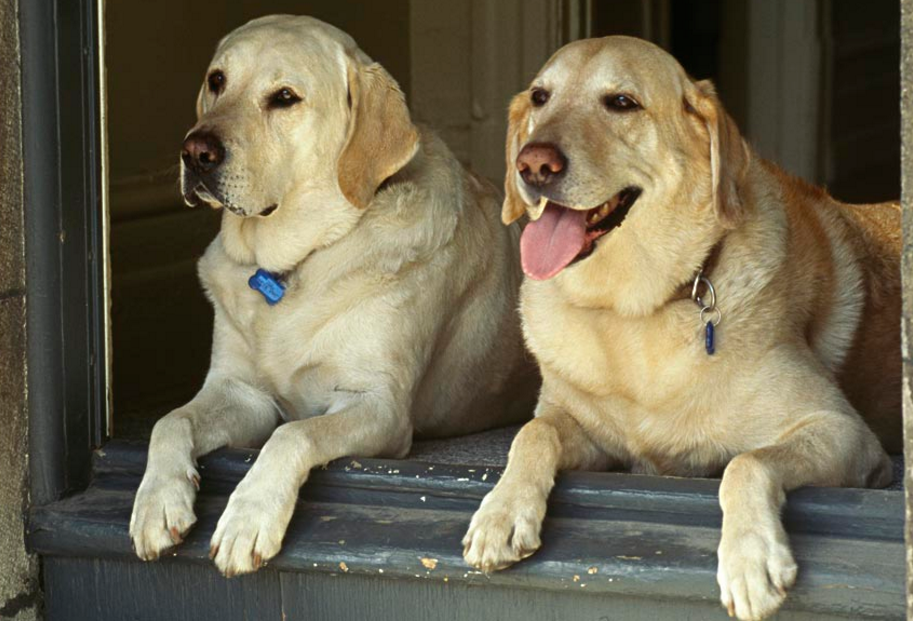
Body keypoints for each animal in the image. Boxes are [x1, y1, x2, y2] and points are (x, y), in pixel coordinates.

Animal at [132, 14, 536, 576]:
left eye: (284, 97)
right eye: (217, 80)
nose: (196, 152)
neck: (295, 262)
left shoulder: (380, 406)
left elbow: (294, 434)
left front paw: (248, 518)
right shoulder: (240, 391)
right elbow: (170, 421)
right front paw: (157, 503)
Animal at [460, 37, 900, 620]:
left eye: (622, 102)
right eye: (539, 97)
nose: (531, 163)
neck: (633, 310)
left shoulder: (844, 433)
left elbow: (745, 464)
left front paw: (750, 558)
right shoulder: (583, 428)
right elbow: (532, 433)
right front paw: (502, 512)